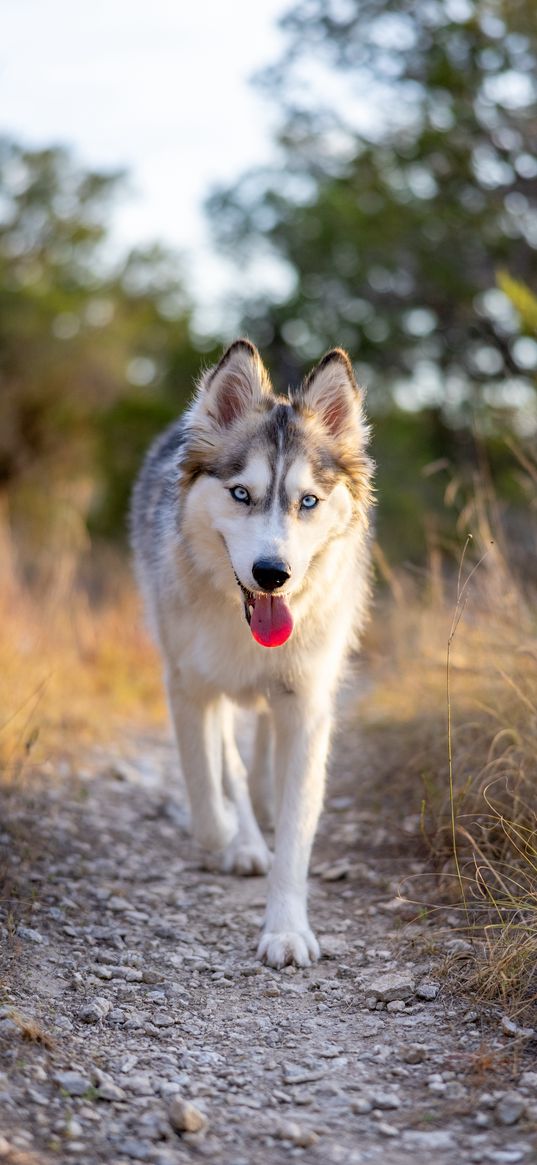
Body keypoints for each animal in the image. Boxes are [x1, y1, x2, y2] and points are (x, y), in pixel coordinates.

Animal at [130, 340, 372, 969]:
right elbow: (207, 789)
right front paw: (230, 840)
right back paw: (242, 837)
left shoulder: (308, 706)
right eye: (242, 494)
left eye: (307, 501)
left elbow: (296, 832)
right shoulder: (188, 687)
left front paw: (286, 930)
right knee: (228, 766)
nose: (272, 574)